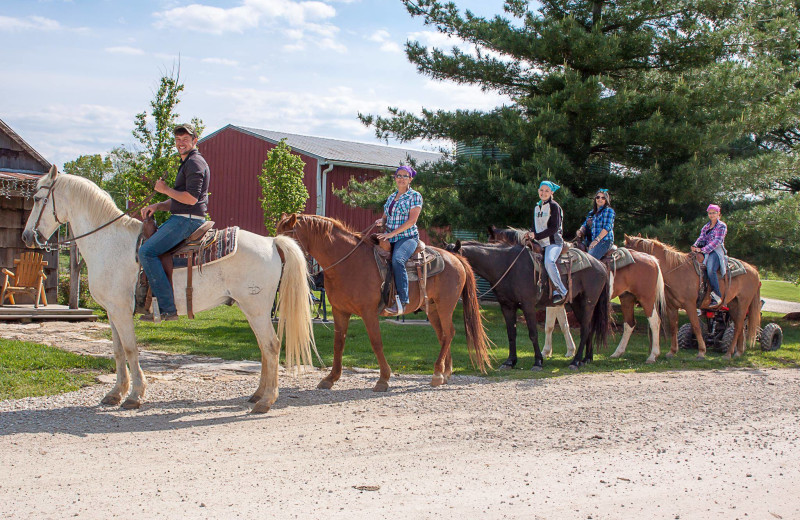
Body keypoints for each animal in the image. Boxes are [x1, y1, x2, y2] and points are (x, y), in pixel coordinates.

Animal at [21, 168, 316, 414]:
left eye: (36, 198)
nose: (26, 237)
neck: (109, 242)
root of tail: (272, 242)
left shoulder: (121, 311)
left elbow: (130, 349)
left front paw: (134, 396)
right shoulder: (112, 312)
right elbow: (117, 351)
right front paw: (115, 393)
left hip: (255, 308)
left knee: (271, 345)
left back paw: (266, 401)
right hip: (253, 309)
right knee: (265, 348)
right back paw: (257, 395)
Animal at [276, 212, 494, 390]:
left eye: (287, 241)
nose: (278, 268)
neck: (348, 263)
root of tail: (456, 258)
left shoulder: (368, 312)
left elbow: (376, 343)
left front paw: (383, 379)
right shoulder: (339, 311)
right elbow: (339, 343)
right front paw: (330, 378)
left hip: (445, 306)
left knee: (449, 333)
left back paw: (437, 374)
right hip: (432, 309)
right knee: (443, 336)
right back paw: (443, 373)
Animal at [488, 225, 668, 364]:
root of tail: (652, 259)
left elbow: (550, 325)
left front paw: (547, 352)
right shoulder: (558, 302)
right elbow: (561, 324)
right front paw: (566, 350)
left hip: (646, 298)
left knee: (655, 322)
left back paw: (652, 356)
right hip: (627, 298)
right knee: (629, 324)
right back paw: (617, 353)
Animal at [624, 235, 764, 360]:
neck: (677, 271)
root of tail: (754, 271)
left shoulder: (690, 305)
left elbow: (696, 326)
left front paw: (701, 352)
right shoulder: (671, 306)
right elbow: (673, 327)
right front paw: (672, 352)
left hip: (743, 303)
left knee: (739, 326)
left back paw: (728, 354)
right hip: (733, 304)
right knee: (739, 326)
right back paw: (738, 352)